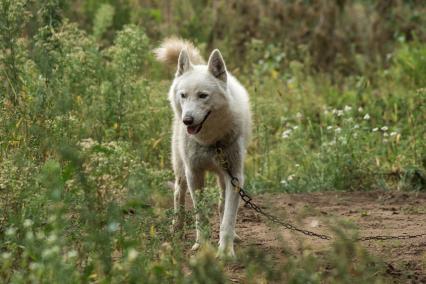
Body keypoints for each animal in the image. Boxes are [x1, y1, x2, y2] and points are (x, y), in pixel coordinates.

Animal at [155, 37, 251, 258]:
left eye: (203, 95)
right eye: (183, 95)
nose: (187, 120)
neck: (211, 142)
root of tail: (199, 64)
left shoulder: (235, 177)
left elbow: (228, 217)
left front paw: (226, 251)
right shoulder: (194, 174)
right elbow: (201, 214)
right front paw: (202, 245)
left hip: (223, 178)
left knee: (222, 204)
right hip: (181, 171)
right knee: (178, 195)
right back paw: (177, 228)